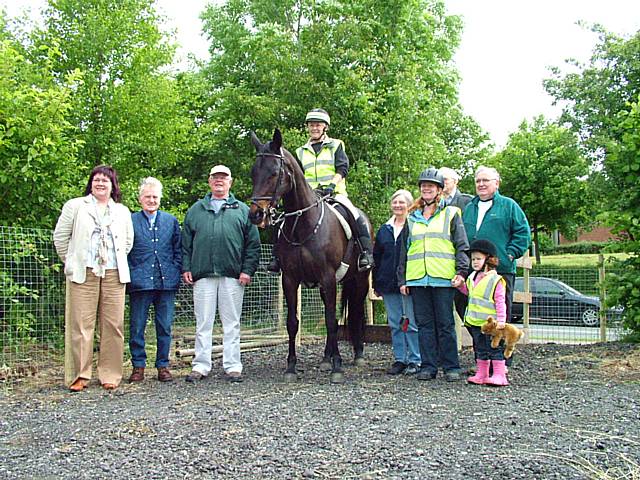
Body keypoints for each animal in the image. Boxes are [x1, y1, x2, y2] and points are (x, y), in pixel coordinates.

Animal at [250, 127, 370, 382]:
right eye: (253, 172)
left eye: (274, 173)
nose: (256, 214)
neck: (303, 224)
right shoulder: (290, 279)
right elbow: (293, 323)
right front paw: (291, 367)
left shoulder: (327, 277)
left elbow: (332, 322)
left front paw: (337, 368)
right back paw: (326, 358)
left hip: (360, 279)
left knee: (355, 311)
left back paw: (357, 355)